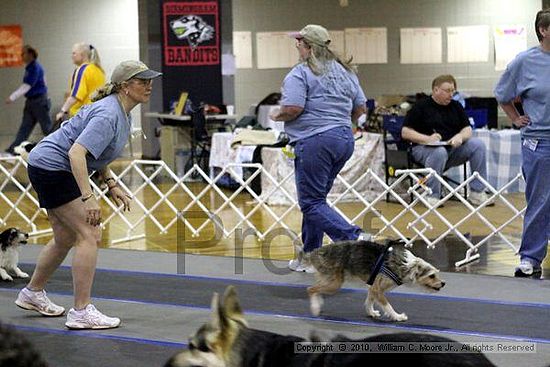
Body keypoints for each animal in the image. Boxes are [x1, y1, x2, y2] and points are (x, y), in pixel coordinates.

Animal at [306, 240, 448, 320]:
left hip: (330, 280)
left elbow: (369, 301)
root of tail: (316, 252)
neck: (405, 265)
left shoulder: (373, 287)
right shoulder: (378, 289)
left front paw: (371, 313)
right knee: (311, 289)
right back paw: (314, 307)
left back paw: (318, 303)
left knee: (316, 288)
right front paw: (398, 317)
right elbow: (388, 306)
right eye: (431, 276)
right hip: (334, 284)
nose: (443, 283)